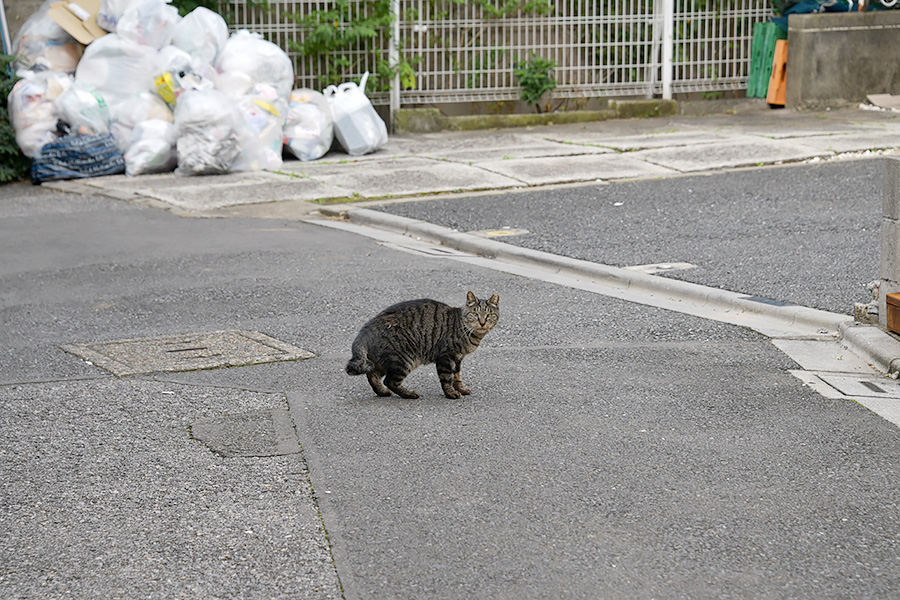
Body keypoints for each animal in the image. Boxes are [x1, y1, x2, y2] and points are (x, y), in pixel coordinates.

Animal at [346, 290, 500, 398]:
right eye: (474, 314)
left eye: (489, 315)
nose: (482, 323)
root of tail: (366, 329)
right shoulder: (446, 356)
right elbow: (447, 378)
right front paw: (451, 394)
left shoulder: (458, 358)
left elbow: (457, 376)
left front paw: (461, 389)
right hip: (404, 360)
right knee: (389, 381)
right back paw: (409, 394)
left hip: (383, 361)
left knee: (372, 375)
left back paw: (382, 392)